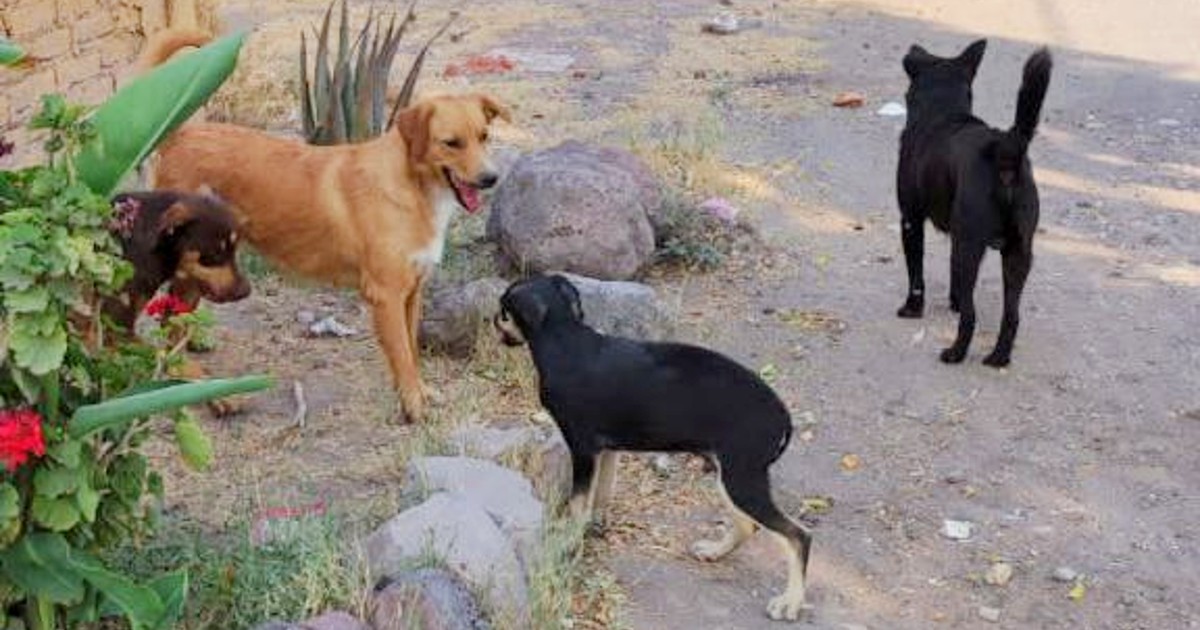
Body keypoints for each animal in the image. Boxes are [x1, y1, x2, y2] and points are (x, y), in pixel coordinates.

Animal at [144, 30, 511, 422]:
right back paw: (207, 392)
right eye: (451, 143)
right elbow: (402, 357)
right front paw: (413, 406)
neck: (412, 189)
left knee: (175, 324)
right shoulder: (386, 295)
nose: (491, 178)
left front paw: (421, 393)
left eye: (484, 136)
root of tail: (181, 134)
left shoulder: (413, 291)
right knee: (165, 328)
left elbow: (412, 352)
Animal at [492, 273, 811, 619]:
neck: (564, 338)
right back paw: (714, 551)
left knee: (797, 536)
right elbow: (600, 495)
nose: (493, 320)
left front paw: (569, 542)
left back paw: (790, 601)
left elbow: (577, 503)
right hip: (730, 476)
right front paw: (594, 527)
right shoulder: (606, 451)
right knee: (748, 525)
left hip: (741, 479)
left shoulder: (582, 449)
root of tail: (782, 415)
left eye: (504, 310)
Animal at [892, 39, 1051, 364]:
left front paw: (912, 309)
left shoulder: (910, 219)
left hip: (969, 248)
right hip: (1018, 253)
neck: (943, 111)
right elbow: (955, 285)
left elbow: (916, 273)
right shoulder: (957, 234)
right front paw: (953, 301)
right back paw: (998, 357)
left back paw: (955, 352)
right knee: (1011, 316)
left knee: (971, 315)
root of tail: (1007, 148)